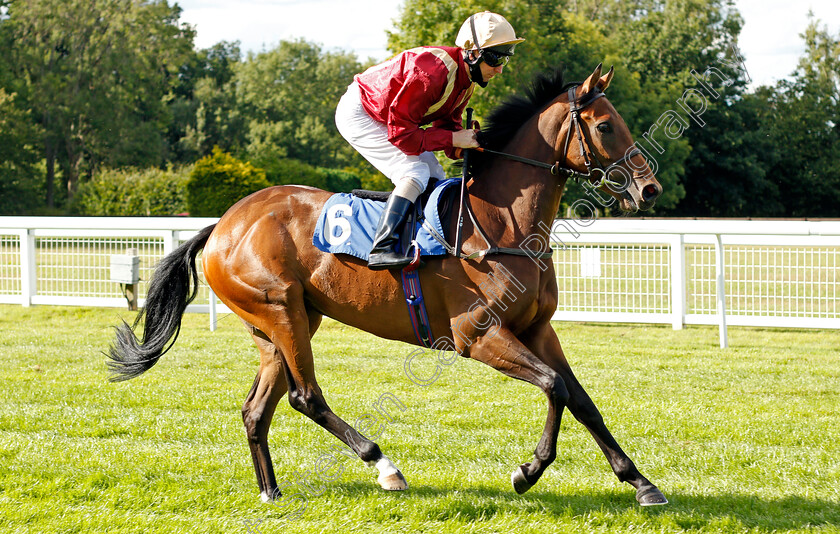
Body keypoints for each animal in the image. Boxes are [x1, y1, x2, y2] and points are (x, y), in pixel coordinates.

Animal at [106, 65, 668, 508]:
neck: (500, 225)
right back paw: (384, 465)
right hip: (282, 312)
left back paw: (271, 490)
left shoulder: (537, 329)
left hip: (281, 324)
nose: (650, 188)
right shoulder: (478, 336)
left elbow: (580, 399)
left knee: (256, 409)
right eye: (604, 125)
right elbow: (554, 387)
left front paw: (641, 482)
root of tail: (223, 224)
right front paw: (527, 471)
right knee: (306, 396)